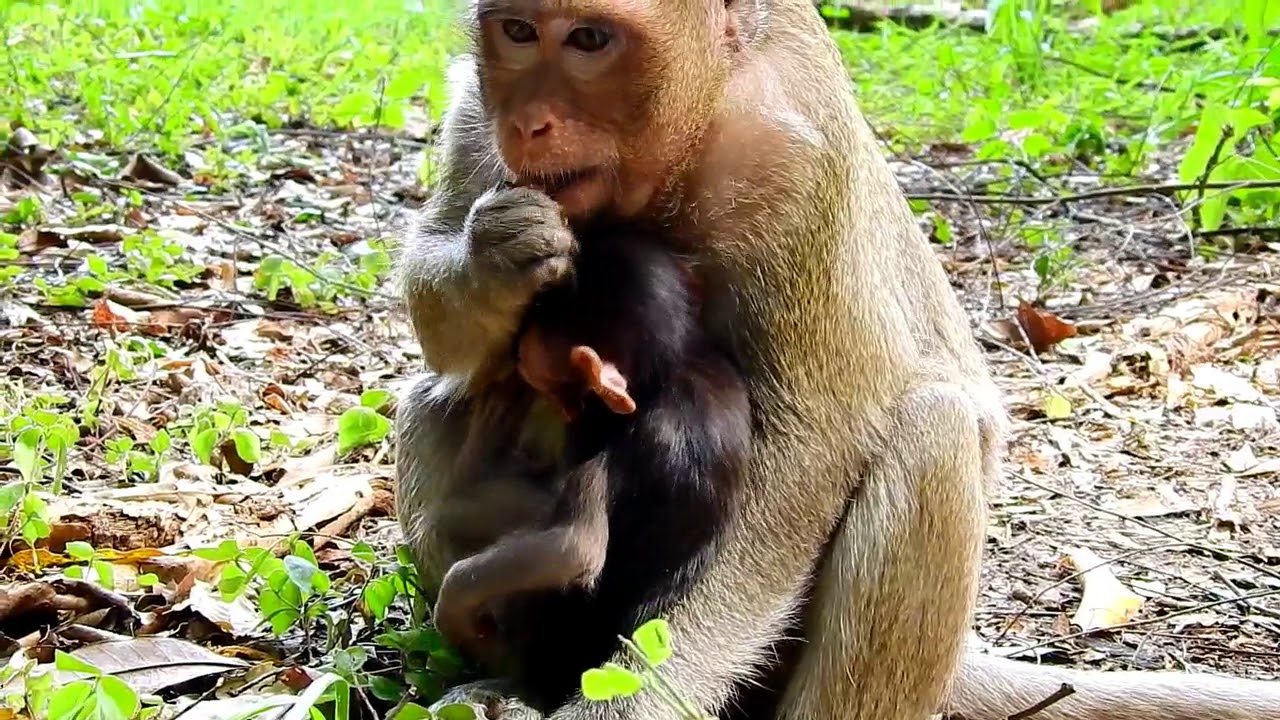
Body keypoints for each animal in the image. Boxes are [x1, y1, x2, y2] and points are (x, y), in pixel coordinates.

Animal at [430, 227, 751, 696]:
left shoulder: (619, 452)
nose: (564, 411)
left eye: (538, 373)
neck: (671, 371)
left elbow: (573, 548)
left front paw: (455, 604)